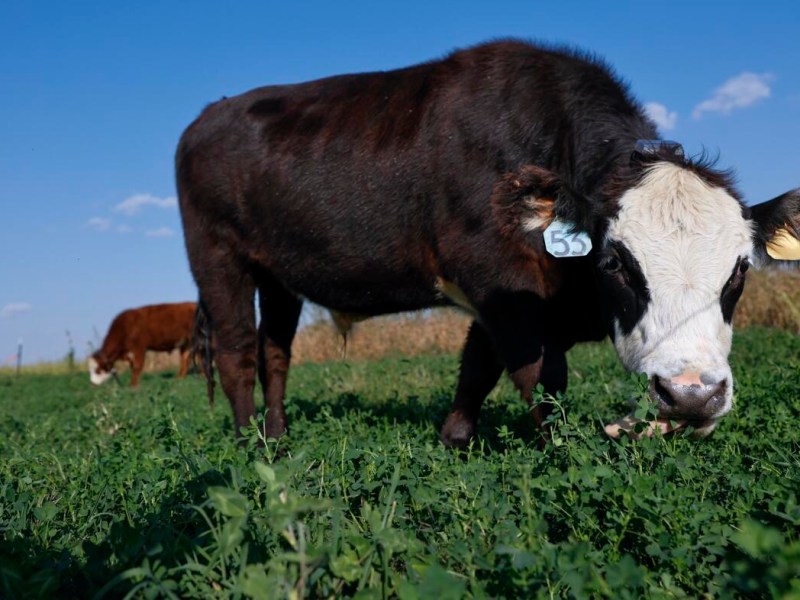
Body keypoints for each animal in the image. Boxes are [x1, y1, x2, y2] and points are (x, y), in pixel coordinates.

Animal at [175, 40, 800, 447]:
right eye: (614, 262)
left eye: (740, 270)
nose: (692, 395)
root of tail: (210, 114)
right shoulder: (497, 275)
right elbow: (540, 377)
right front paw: (563, 454)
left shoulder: (503, 293)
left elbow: (477, 365)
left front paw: (454, 438)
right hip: (219, 259)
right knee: (236, 352)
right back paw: (250, 446)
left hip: (279, 275)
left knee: (275, 352)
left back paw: (278, 436)